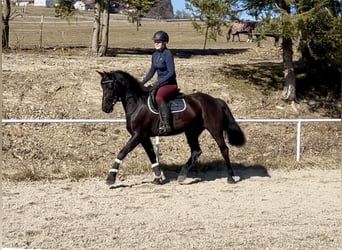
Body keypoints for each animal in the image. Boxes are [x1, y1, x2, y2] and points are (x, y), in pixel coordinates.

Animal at [97, 69, 246, 185]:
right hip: (191, 131)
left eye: (110, 87)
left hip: (215, 130)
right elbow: (152, 155)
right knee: (196, 151)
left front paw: (111, 178)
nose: (105, 108)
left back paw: (230, 177)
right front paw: (158, 177)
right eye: (102, 87)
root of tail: (215, 100)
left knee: (224, 149)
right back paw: (182, 175)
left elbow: (122, 152)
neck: (137, 103)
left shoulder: (138, 135)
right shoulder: (143, 137)